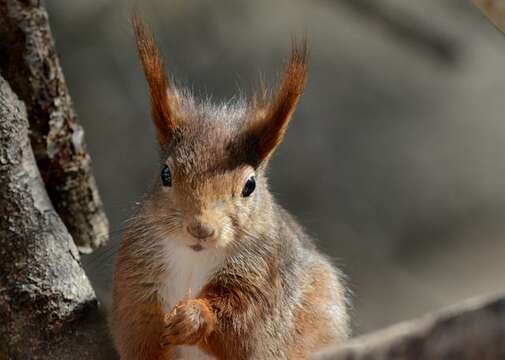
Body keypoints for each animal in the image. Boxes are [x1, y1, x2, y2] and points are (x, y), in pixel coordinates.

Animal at [110, 16, 348, 360]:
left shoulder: (262, 280)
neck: (193, 258)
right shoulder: (135, 275)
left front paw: (193, 317)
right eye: (165, 174)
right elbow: (138, 330)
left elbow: (240, 327)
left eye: (249, 185)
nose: (200, 229)